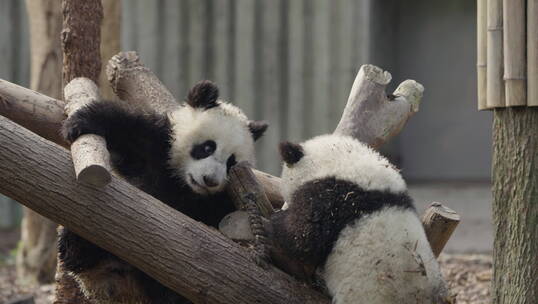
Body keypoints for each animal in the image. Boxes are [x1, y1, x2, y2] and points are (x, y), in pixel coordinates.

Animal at [59, 81, 266, 304]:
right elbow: (128, 128)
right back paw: (76, 249)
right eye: (207, 147)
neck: (184, 185)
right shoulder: (154, 149)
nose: (210, 180)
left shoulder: (217, 201)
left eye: (231, 163)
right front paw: (77, 124)